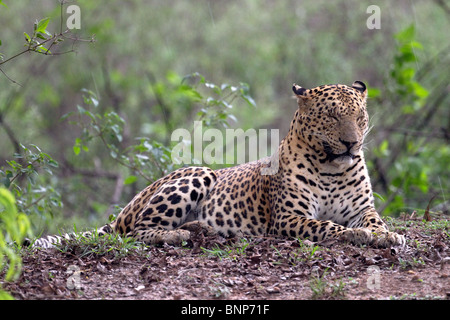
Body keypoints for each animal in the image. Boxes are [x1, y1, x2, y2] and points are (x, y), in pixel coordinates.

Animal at [29, 80, 406, 250]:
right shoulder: (289, 218)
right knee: (138, 231)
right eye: (331, 116)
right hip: (197, 174)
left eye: (359, 116)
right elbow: (326, 227)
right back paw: (181, 233)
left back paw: (203, 229)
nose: (352, 143)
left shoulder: (362, 208)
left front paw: (388, 234)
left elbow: (375, 221)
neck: (332, 168)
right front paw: (358, 235)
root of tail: (124, 209)